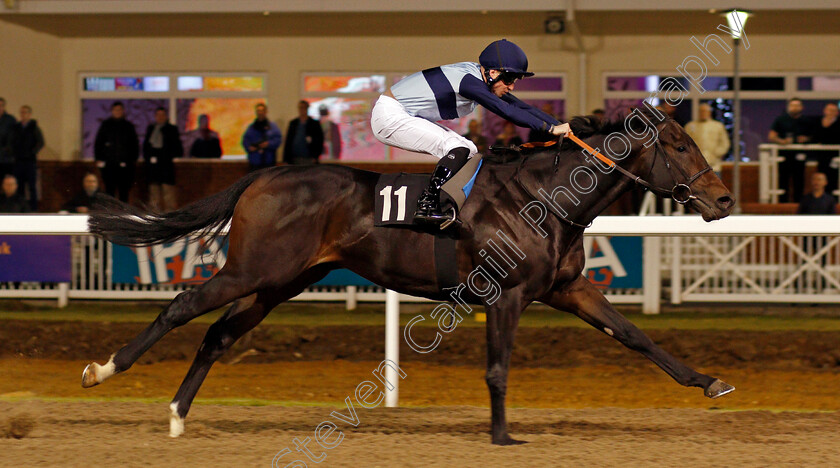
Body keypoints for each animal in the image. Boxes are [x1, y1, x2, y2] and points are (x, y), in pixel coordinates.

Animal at [80, 108, 736, 444]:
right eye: (679, 145)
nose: (725, 199)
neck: (545, 197)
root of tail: (263, 175)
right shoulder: (508, 295)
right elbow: (498, 368)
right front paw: (502, 436)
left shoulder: (566, 288)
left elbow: (634, 335)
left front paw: (708, 382)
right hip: (252, 269)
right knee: (180, 307)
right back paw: (104, 369)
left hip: (278, 282)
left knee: (217, 335)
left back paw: (177, 413)